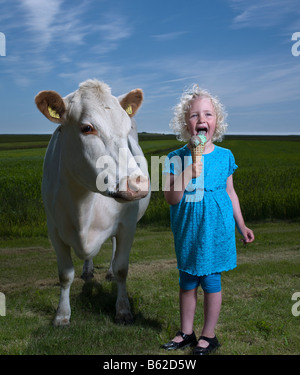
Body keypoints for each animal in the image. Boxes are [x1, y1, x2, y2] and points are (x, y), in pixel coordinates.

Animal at [34, 80, 150, 326]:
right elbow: (64, 274)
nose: (137, 184)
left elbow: (122, 269)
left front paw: (123, 309)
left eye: (127, 129)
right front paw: (62, 314)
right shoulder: (54, 230)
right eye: (87, 128)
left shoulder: (127, 225)